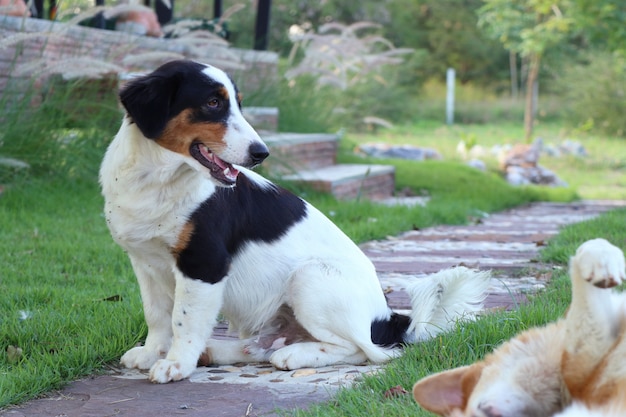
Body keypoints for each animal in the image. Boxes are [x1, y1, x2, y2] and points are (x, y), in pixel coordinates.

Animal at [100, 59, 488, 384]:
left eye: (237, 104)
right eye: (212, 103)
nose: (261, 153)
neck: (158, 180)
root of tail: (387, 318)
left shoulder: (204, 263)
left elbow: (185, 319)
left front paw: (177, 364)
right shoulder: (145, 262)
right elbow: (157, 315)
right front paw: (153, 353)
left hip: (309, 278)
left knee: (367, 351)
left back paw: (296, 355)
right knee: (260, 345)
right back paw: (221, 351)